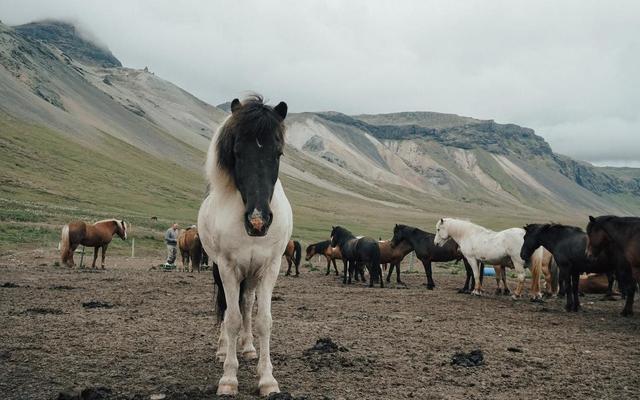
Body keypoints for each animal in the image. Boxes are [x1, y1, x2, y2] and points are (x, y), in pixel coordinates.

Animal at [198, 95, 292, 396]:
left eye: (278, 153)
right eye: (237, 152)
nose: (258, 221)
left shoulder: (271, 267)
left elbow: (263, 320)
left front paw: (267, 379)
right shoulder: (227, 267)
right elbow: (232, 318)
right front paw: (228, 378)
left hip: (252, 274)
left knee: (248, 303)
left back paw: (249, 348)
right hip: (221, 269)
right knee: (228, 308)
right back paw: (222, 350)